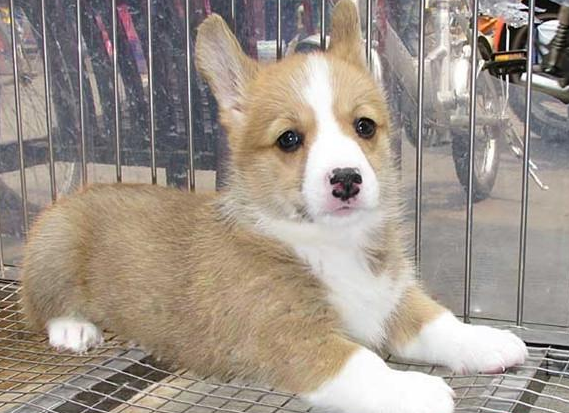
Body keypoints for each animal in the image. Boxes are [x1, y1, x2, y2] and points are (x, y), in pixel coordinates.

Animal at [21, 2, 527, 412]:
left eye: (364, 126)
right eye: (289, 139)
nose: (347, 179)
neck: (331, 243)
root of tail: (79, 192)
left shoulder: (393, 298)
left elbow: (438, 321)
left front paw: (487, 341)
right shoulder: (292, 337)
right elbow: (360, 362)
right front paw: (413, 389)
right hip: (53, 246)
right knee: (40, 305)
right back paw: (73, 329)